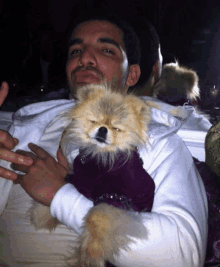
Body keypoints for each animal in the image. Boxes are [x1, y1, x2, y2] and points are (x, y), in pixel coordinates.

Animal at [31, 85, 156, 267]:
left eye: (116, 128)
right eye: (94, 121)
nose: (103, 129)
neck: (99, 156)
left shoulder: (114, 199)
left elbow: (96, 220)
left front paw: (90, 255)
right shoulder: (77, 179)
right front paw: (43, 213)